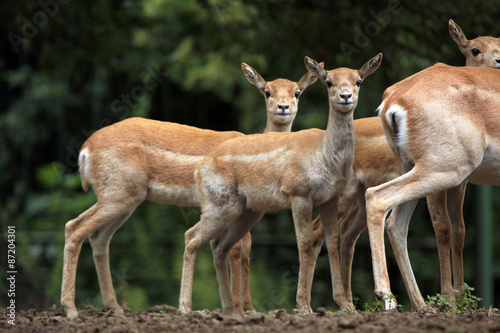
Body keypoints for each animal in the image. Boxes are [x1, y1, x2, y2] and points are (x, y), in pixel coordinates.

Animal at [60, 63, 318, 320]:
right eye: (266, 91)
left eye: (297, 92)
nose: (283, 107)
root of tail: (85, 151)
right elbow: (236, 250)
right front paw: (238, 309)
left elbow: (246, 251)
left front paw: (249, 308)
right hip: (119, 193)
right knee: (75, 228)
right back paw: (71, 310)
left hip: (124, 198)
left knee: (97, 237)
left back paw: (114, 308)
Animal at [180, 53, 382, 312]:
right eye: (328, 82)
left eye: (358, 81)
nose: (345, 96)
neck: (325, 156)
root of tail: (199, 170)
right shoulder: (299, 194)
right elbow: (304, 242)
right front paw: (303, 306)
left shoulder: (331, 197)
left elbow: (332, 241)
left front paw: (345, 305)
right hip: (220, 205)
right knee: (192, 237)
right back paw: (186, 307)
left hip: (247, 212)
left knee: (219, 246)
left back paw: (231, 309)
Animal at [364, 63, 500, 310]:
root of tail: (393, 99)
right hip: (445, 169)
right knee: (376, 197)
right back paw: (387, 297)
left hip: (414, 166)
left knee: (396, 224)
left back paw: (421, 306)